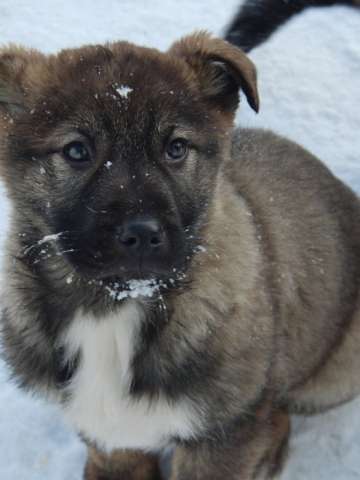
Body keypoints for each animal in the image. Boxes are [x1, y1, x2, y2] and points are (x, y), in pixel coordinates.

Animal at [0, 31, 358, 478]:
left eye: (176, 148)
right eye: (77, 151)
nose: (141, 234)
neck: (113, 310)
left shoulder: (223, 434)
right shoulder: (113, 440)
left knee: (279, 414)